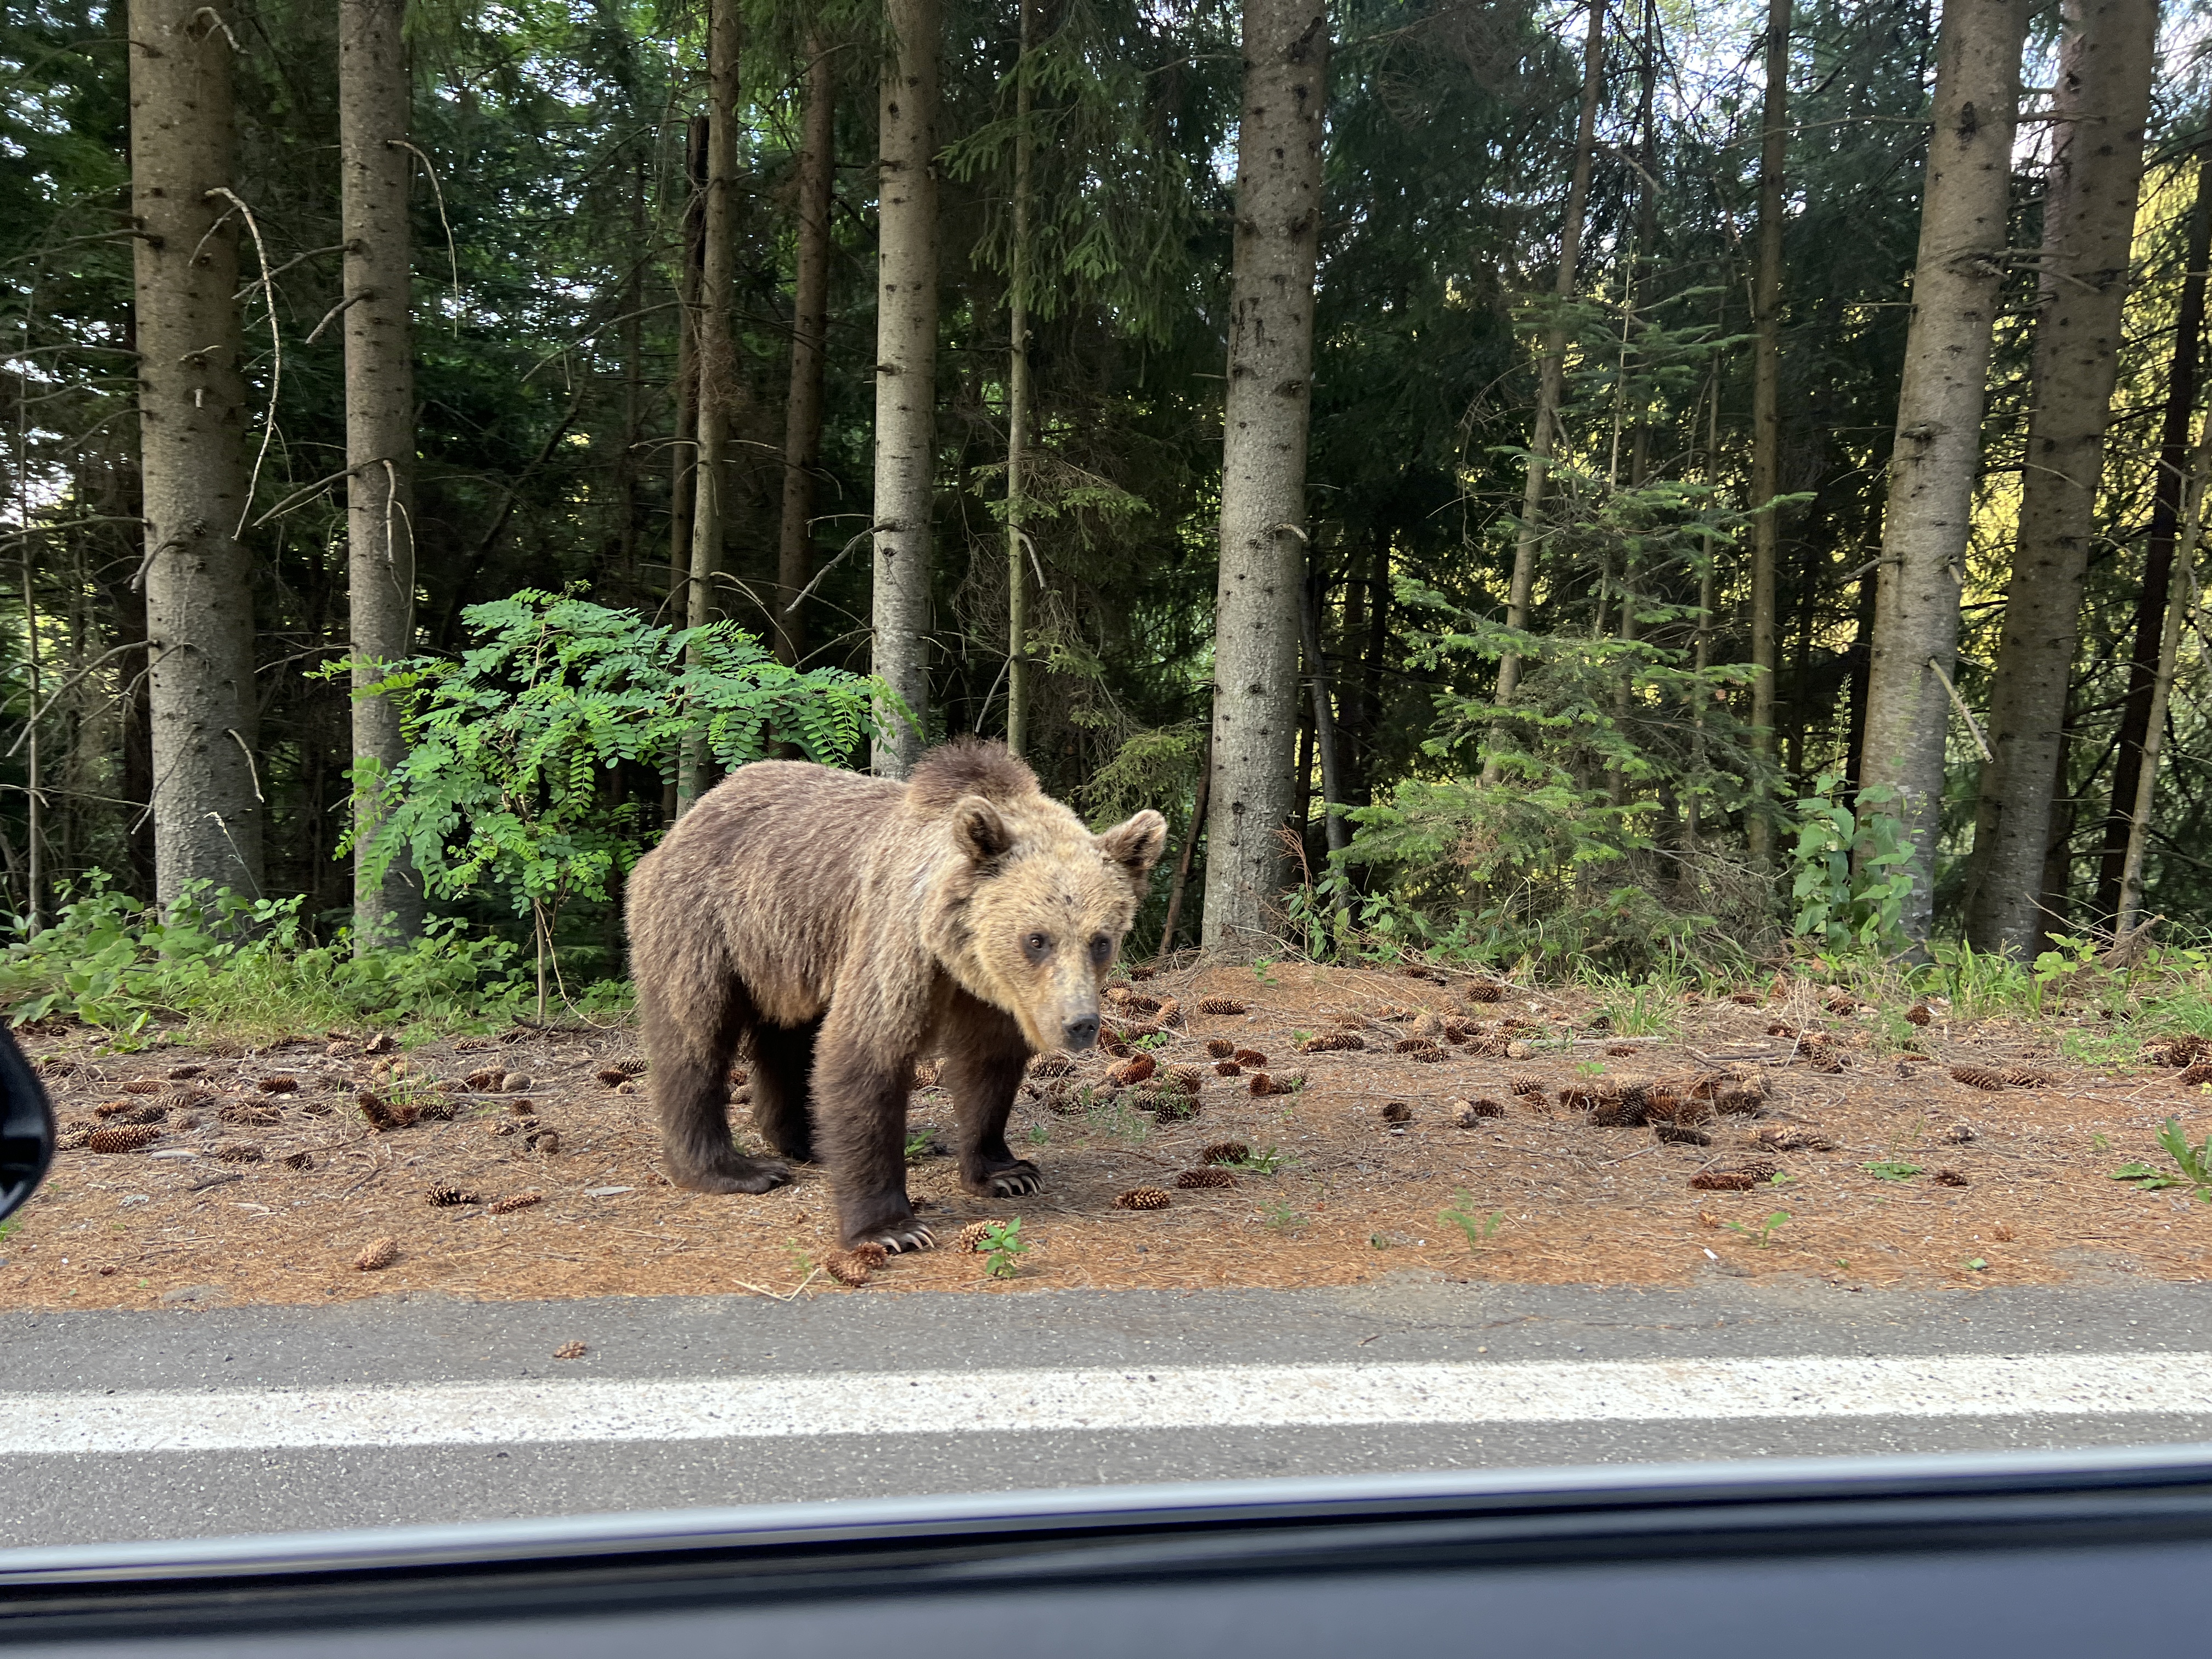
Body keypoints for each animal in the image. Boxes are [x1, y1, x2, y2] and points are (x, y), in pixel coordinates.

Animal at [626, 737, 1167, 1251]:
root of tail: (691, 816)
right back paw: (733, 1168)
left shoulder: (998, 994)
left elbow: (988, 1066)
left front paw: (1007, 1171)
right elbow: (867, 1053)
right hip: (706, 924)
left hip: (790, 949)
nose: (1080, 1024)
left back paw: (807, 1140)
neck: (957, 951)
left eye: (1101, 940)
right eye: (1037, 939)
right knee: (695, 1037)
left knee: (789, 1038)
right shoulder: (899, 944)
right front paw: (891, 1228)